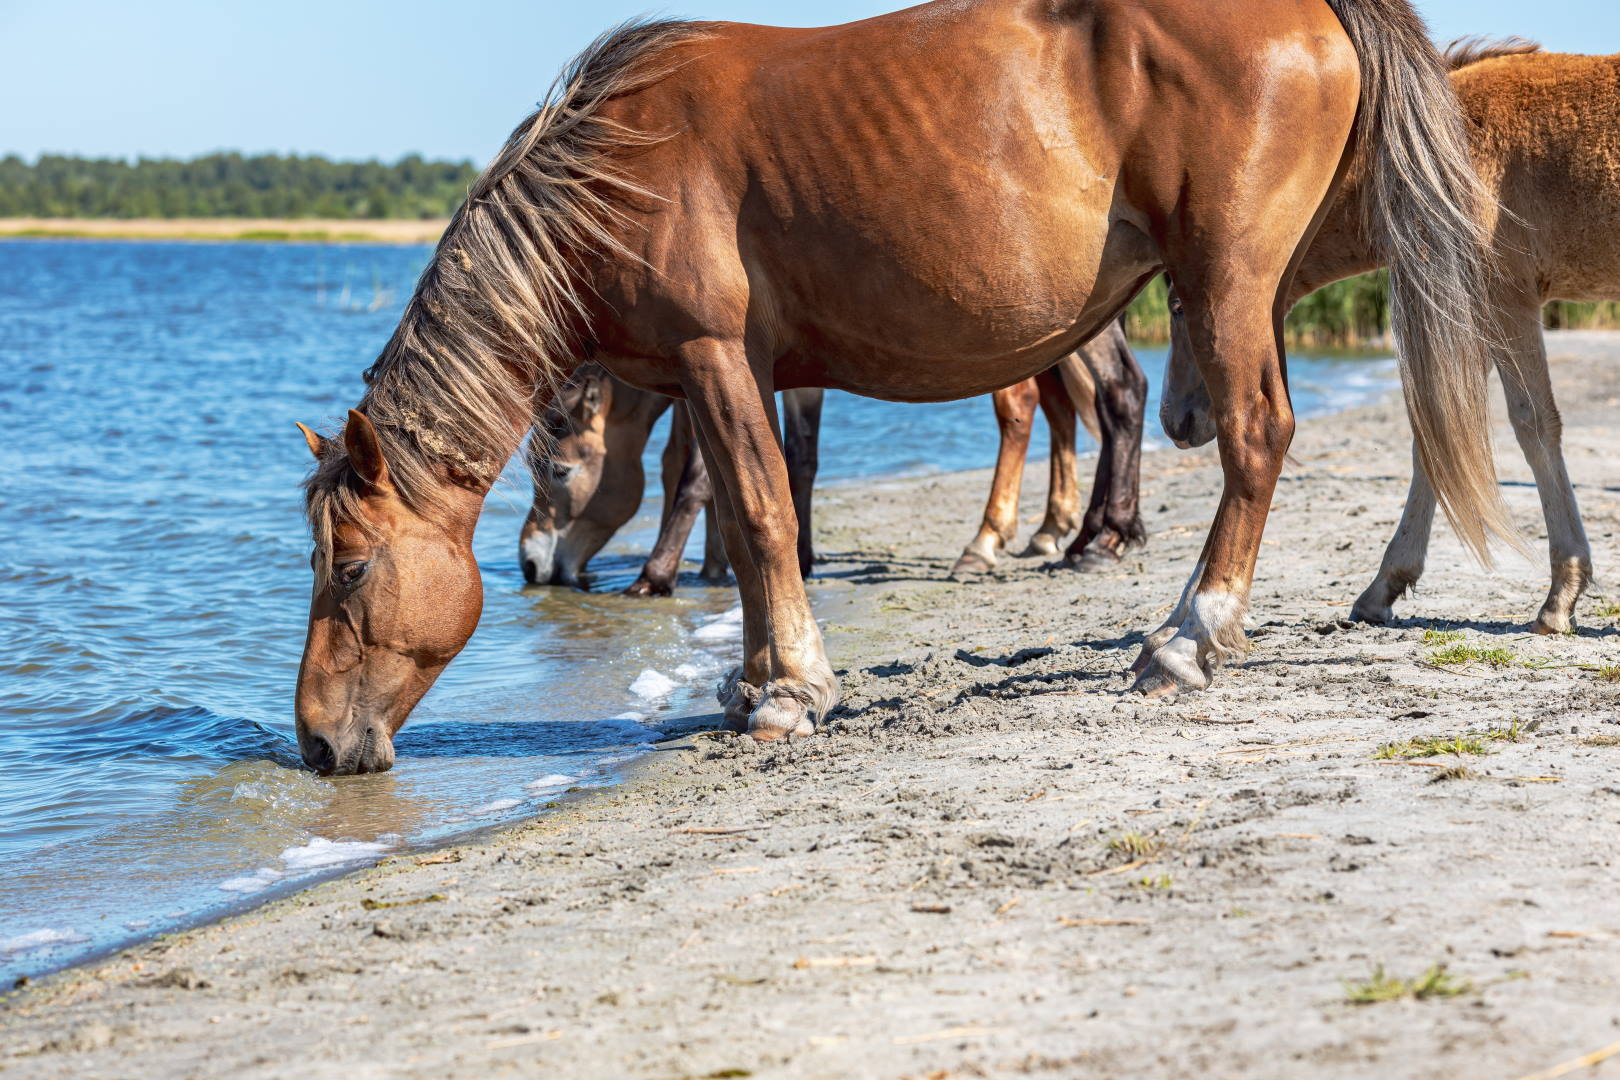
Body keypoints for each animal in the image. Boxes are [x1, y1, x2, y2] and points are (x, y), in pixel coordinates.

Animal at [518, 367, 822, 595]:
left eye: (561, 471)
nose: (529, 564)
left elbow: (697, 479)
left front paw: (655, 576)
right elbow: (675, 464)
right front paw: (712, 566)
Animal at [1159, 40, 1613, 634]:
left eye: (1178, 306)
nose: (1174, 422)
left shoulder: (1503, 300)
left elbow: (1533, 426)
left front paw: (1561, 597)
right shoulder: (1465, 311)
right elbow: (1436, 439)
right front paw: (1383, 588)